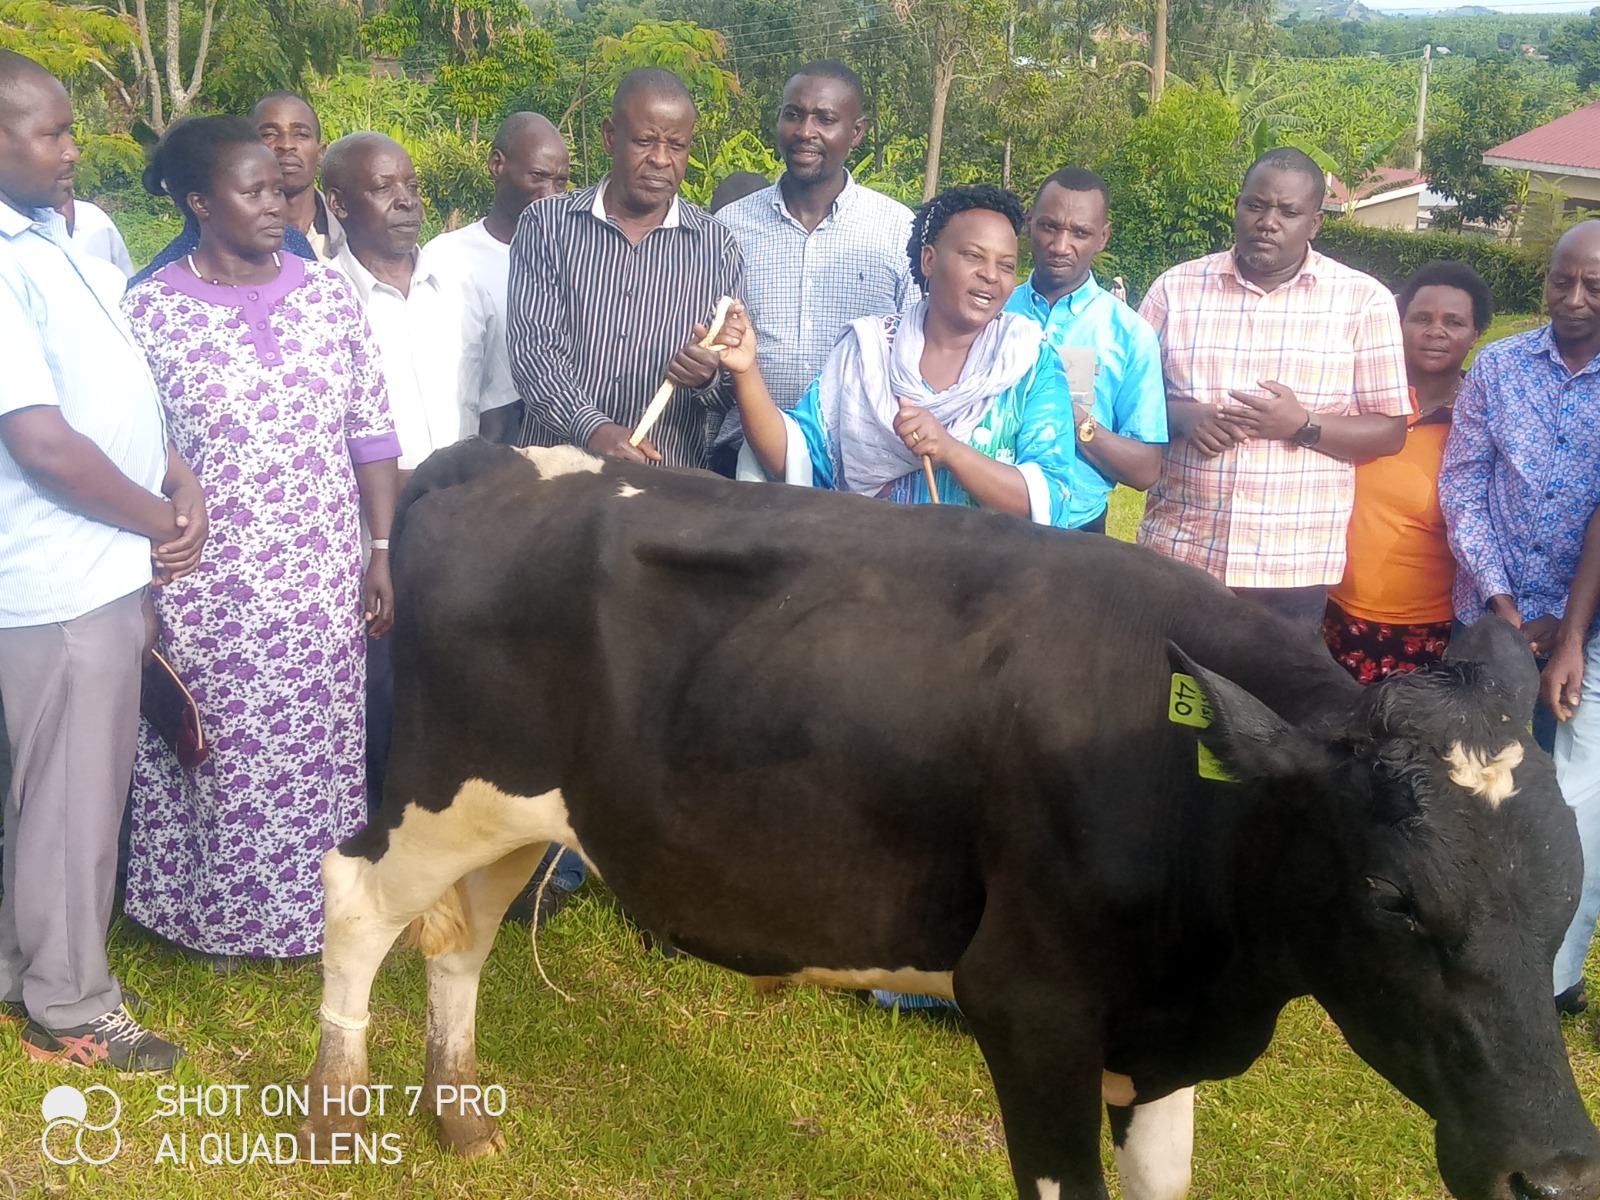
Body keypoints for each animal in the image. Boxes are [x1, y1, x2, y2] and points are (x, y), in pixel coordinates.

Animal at [302, 444, 1600, 1200]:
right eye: (1393, 902)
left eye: (1561, 900)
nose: (1556, 1176)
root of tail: (500, 451)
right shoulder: (1030, 1005)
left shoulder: (1161, 1030)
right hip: (434, 786)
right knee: (356, 900)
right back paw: (334, 1115)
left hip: (518, 808)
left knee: (462, 935)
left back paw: (460, 1118)